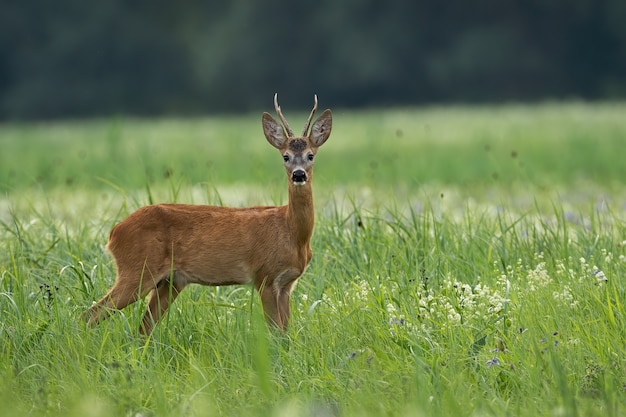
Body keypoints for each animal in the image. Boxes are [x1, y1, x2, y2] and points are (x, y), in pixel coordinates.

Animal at [85, 95, 334, 334]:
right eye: (285, 156)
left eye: (311, 155)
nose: (299, 175)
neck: (291, 232)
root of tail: (113, 234)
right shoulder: (265, 276)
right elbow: (275, 333)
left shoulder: (286, 284)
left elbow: (285, 334)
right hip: (137, 270)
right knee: (90, 314)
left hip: (171, 281)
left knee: (142, 327)